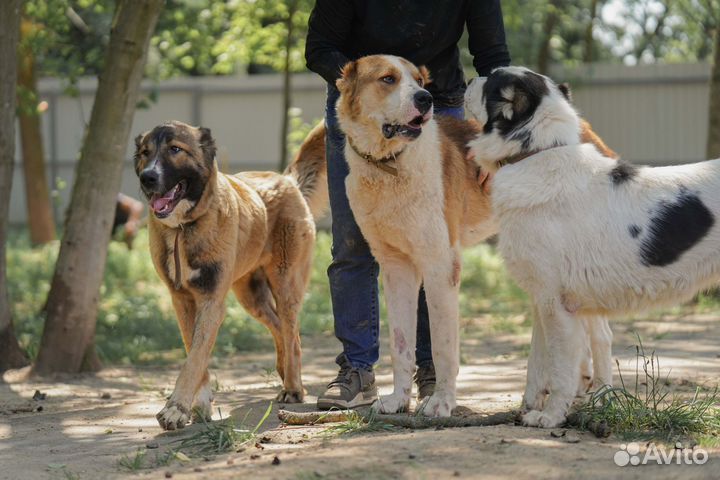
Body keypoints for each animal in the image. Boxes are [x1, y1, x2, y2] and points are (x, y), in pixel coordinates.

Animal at [134, 122, 324, 430]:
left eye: (175, 149)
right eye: (145, 152)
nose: (147, 177)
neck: (184, 227)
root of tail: (287, 181)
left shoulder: (212, 302)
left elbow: (194, 358)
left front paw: (176, 408)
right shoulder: (182, 301)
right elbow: (194, 353)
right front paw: (199, 406)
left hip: (286, 285)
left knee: (291, 332)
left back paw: (294, 387)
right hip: (251, 297)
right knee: (279, 326)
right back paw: (284, 372)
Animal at [466, 63, 720, 428]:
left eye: (492, 80)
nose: (469, 77)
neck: (534, 154)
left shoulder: (556, 307)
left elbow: (561, 369)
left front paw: (552, 417)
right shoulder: (542, 299)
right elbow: (536, 364)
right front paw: (529, 409)